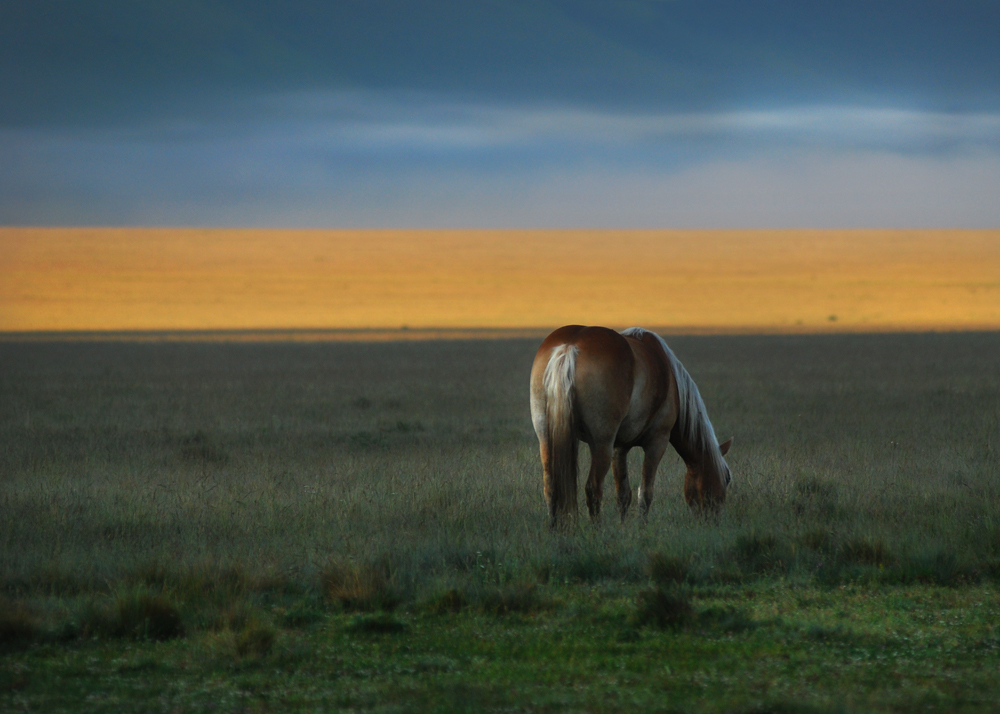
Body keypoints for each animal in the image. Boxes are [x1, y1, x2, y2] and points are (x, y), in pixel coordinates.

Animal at [532, 326, 736, 524]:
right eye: (727, 478)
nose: (715, 519)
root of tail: (570, 346)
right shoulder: (657, 442)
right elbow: (645, 493)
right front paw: (641, 527)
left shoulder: (619, 448)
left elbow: (623, 493)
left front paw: (623, 527)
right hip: (601, 444)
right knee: (593, 488)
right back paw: (597, 530)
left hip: (546, 439)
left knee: (550, 487)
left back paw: (553, 526)